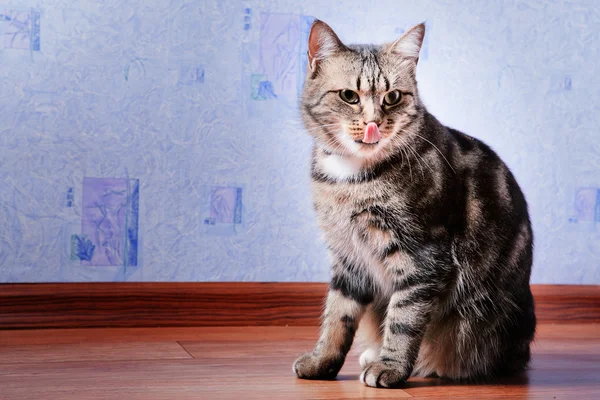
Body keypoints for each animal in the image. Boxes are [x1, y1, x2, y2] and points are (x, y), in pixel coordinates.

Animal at [292, 19, 536, 388]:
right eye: (349, 96)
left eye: (392, 97)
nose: (374, 123)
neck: (352, 180)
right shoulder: (348, 257)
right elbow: (338, 315)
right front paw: (322, 361)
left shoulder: (423, 257)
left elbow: (404, 319)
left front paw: (391, 367)